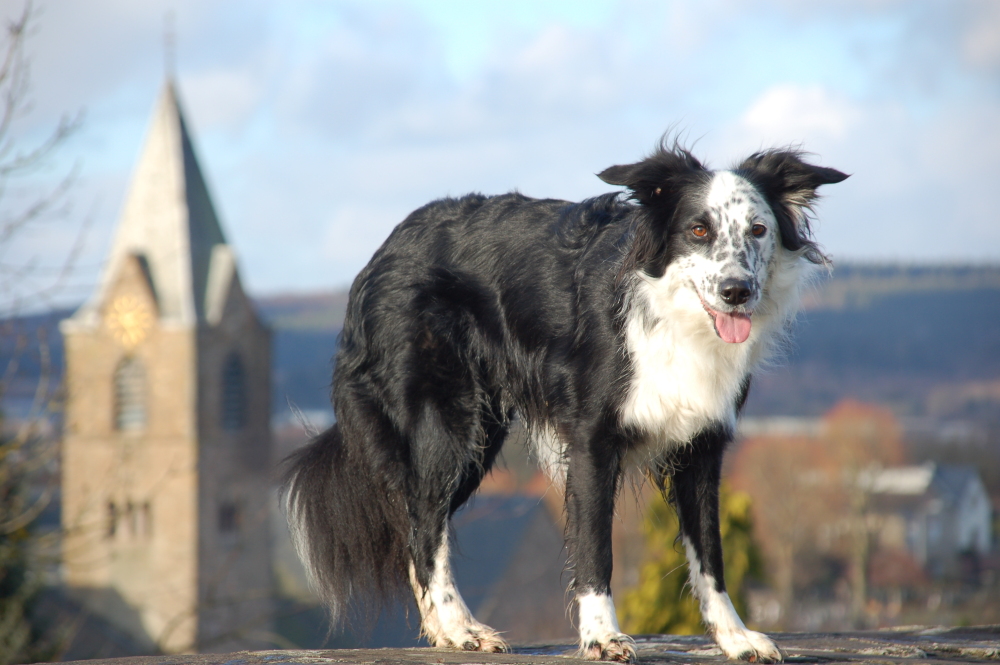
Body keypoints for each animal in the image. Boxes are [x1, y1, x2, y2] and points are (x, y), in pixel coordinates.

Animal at [286, 140, 848, 660]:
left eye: (758, 230)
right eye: (698, 231)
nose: (737, 291)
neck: (672, 316)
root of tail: (387, 247)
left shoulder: (702, 445)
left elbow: (710, 552)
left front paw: (734, 638)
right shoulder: (591, 441)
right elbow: (595, 548)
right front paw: (602, 636)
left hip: (481, 434)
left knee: (417, 525)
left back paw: (447, 632)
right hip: (449, 424)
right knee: (425, 521)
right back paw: (463, 629)